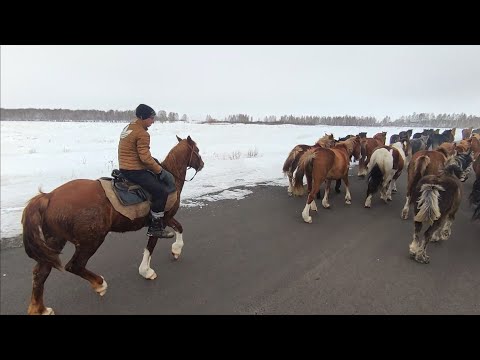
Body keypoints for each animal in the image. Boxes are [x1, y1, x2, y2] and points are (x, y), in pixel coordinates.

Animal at [21, 135, 204, 316]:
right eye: (197, 150)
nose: (202, 164)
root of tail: (49, 197)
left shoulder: (166, 218)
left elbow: (179, 228)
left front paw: (176, 250)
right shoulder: (161, 221)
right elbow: (151, 246)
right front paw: (146, 271)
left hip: (54, 241)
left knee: (40, 273)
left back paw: (40, 309)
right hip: (91, 241)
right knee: (74, 265)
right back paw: (100, 284)